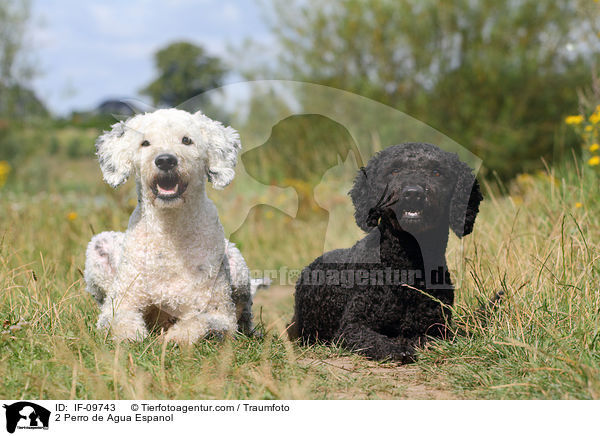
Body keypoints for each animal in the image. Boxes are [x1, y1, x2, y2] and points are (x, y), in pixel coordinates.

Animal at [84, 107, 262, 342]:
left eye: (186, 140)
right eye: (145, 143)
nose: (165, 160)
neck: (169, 234)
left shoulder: (220, 313)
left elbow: (202, 323)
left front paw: (174, 337)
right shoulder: (121, 302)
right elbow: (118, 319)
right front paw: (131, 335)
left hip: (238, 268)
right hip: (99, 246)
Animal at [290, 143, 482, 362]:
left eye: (437, 172)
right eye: (394, 170)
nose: (412, 193)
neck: (407, 264)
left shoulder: (437, 327)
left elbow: (425, 336)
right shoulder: (352, 328)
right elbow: (379, 341)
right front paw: (397, 347)